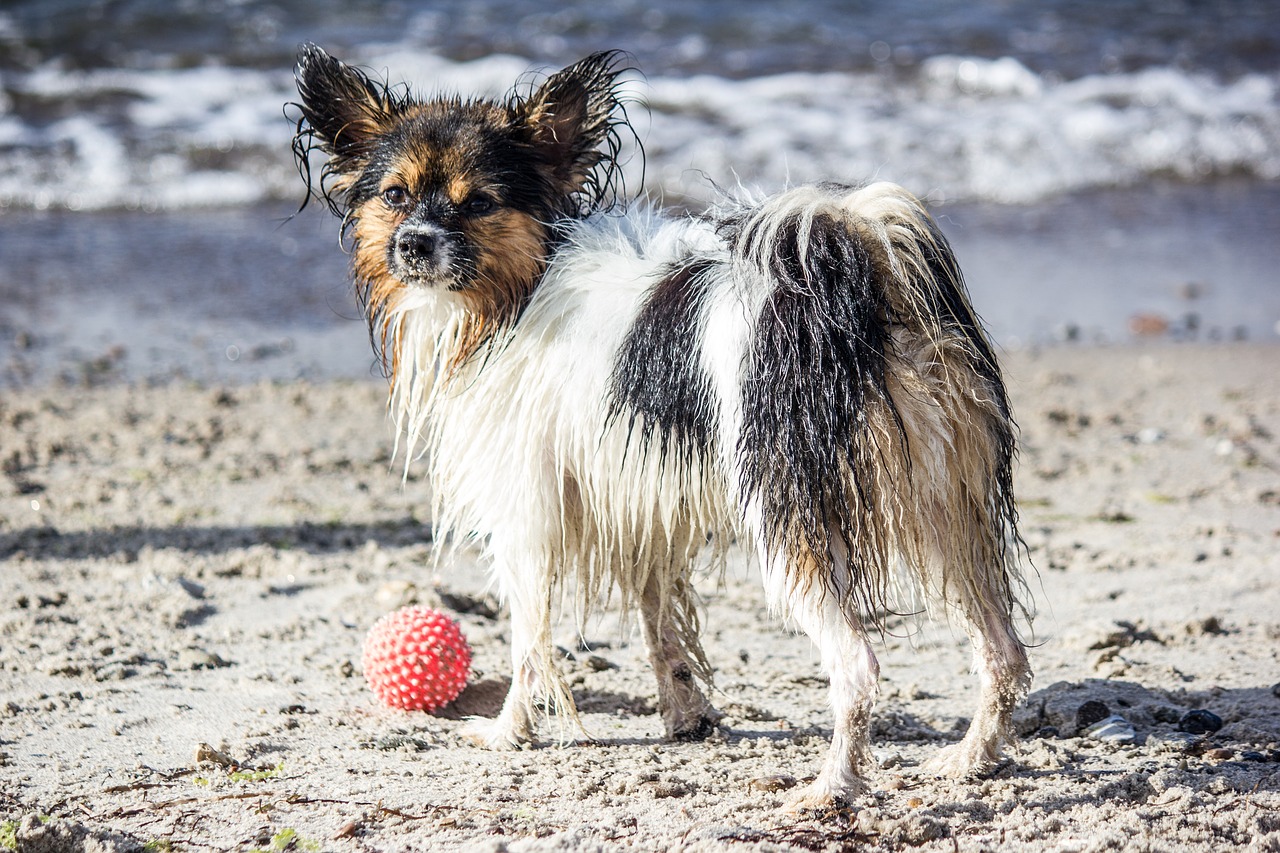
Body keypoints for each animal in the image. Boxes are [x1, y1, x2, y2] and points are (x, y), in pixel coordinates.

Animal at [290, 44, 1029, 804]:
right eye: (394, 196)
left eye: (479, 203)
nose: (414, 243)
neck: (518, 290)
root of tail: (856, 289)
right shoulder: (644, 495)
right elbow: (658, 618)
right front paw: (684, 714)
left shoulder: (529, 512)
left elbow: (529, 641)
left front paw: (507, 733)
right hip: (946, 509)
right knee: (1003, 649)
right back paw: (971, 759)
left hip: (791, 525)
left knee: (858, 665)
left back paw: (832, 785)